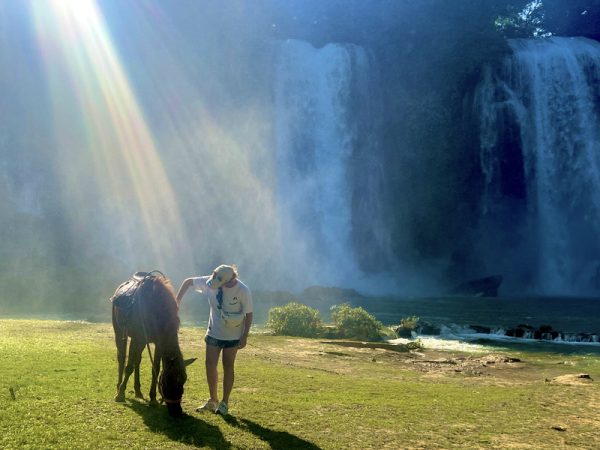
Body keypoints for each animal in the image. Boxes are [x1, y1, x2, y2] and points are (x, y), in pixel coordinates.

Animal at [111, 270, 196, 414]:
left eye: (184, 380)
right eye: (168, 380)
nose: (177, 411)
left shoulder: (158, 343)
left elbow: (154, 368)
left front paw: (153, 399)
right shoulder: (137, 338)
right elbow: (129, 367)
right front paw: (120, 394)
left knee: (137, 360)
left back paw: (138, 391)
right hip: (119, 332)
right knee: (122, 358)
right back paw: (118, 387)